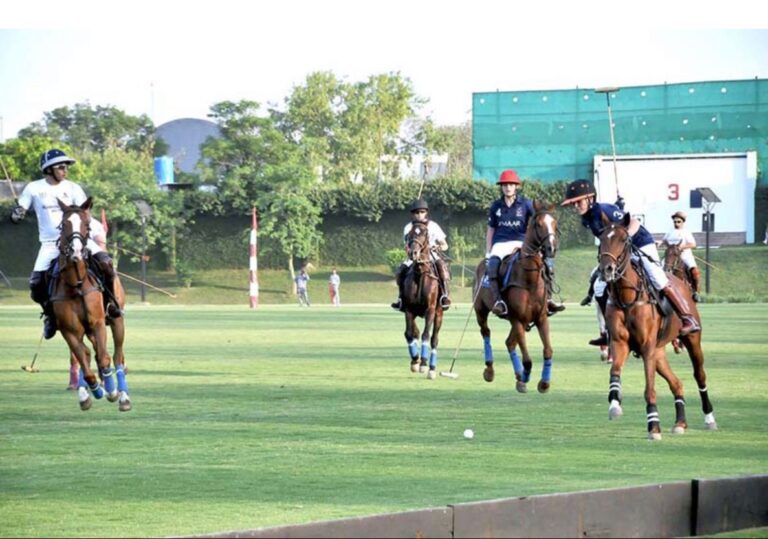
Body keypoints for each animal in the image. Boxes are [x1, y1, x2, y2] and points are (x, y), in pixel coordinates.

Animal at [52, 198, 132, 414]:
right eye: (64, 224)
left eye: (86, 225)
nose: (76, 253)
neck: (77, 285)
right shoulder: (69, 330)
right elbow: (86, 364)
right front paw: (92, 392)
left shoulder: (97, 322)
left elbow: (104, 359)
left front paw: (111, 392)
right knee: (89, 354)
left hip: (116, 320)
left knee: (117, 356)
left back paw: (123, 397)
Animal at [402, 219, 444, 380]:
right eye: (409, 234)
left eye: (425, 234)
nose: (413, 253)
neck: (420, 273)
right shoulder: (408, 309)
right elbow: (409, 333)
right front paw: (415, 361)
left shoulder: (430, 309)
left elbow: (426, 335)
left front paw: (424, 364)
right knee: (413, 332)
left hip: (439, 314)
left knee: (434, 338)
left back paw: (432, 368)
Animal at [474, 200, 560, 394]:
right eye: (538, 224)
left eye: (554, 223)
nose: (550, 249)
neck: (530, 279)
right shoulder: (518, 319)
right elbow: (527, 359)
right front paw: (525, 377)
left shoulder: (541, 318)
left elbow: (548, 350)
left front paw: (544, 383)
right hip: (481, 311)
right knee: (486, 332)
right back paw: (490, 370)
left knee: (509, 343)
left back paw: (518, 376)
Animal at [600, 213, 712, 440]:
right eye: (601, 238)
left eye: (623, 240)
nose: (606, 269)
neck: (627, 297)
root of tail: (679, 282)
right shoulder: (620, 343)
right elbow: (614, 371)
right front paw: (615, 404)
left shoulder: (646, 347)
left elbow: (649, 389)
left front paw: (653, 426)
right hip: (658, 351)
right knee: (677, 383)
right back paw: (680, 422)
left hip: (691, 340)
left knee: (700, 375)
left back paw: (709, 418)